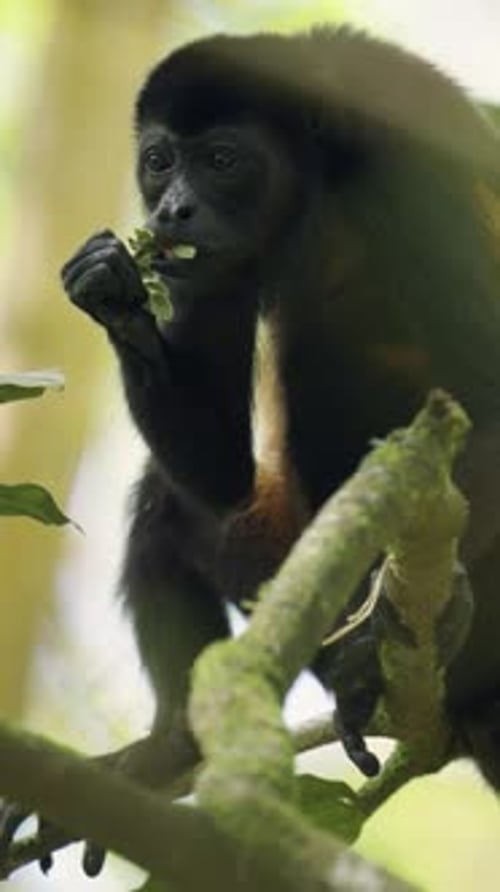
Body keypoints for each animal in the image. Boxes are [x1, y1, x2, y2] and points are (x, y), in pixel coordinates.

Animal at [3, 26, 500, 873]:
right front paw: (110, 289)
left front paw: (397, 625)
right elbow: (221, 474)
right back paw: (167, 745)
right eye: (159, 160)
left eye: (223, 159)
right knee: (166, 505)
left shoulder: (414, 170)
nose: (171, 208)